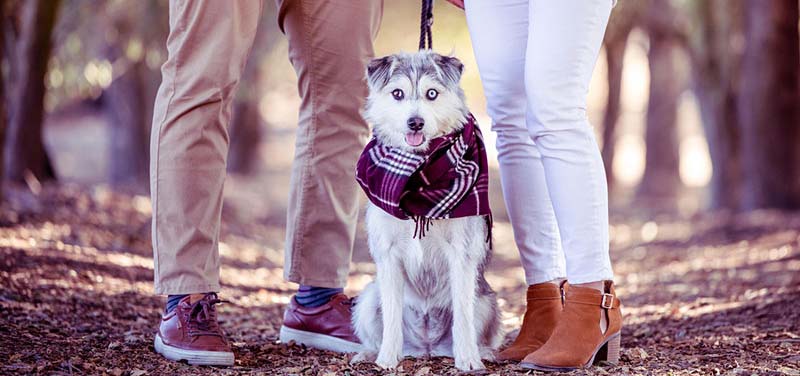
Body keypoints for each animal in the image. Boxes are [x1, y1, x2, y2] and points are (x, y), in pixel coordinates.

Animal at [354, 51, 504, 372]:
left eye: (431, 93)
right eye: (397, 93)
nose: (415, 123)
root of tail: (426, 347)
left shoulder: (462, 252)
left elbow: (463, 313)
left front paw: (468, 359)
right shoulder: (387, 253)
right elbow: (392, 314)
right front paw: (387, 358)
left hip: (486, 300)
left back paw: (481, 351)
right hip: (368, 298)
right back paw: (370, 353)